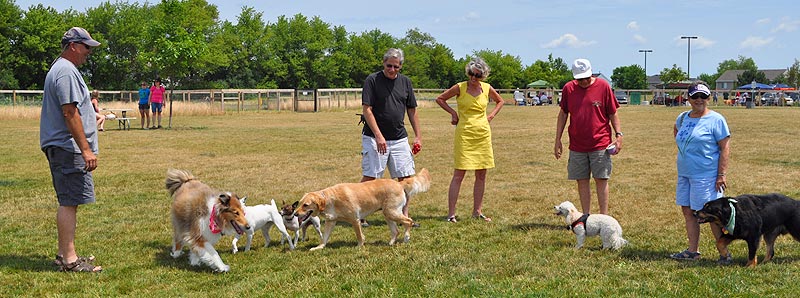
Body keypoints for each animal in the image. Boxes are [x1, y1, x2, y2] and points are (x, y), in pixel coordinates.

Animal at [294, 168, 432, 249]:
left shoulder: (355, 220)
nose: (295, 214)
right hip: (388, 214)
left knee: (409, 221)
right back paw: (391, 243)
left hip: (391, 212)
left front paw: (359, 247)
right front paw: (319, 247)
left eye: (305, 205)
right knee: (396, 231)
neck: (330, 199)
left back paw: (406, 237)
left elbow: (359, 236)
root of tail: (398, 183)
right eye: (299, 203)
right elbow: (324, 237)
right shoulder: (330, 222)